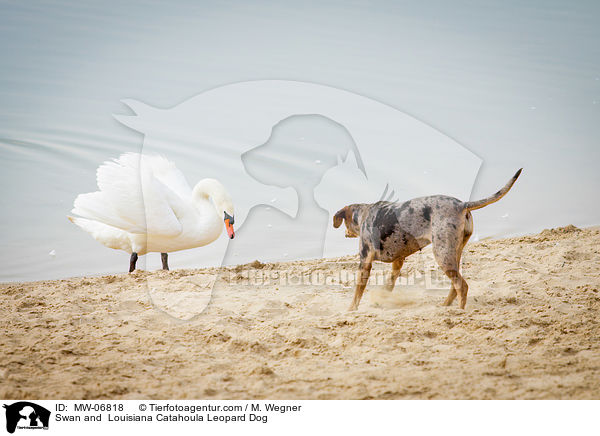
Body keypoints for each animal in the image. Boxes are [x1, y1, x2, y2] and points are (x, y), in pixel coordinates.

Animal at [332, 169, 520, 310]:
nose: (345, 233)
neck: (363, 214)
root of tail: (462, 204)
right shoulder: (398, 261)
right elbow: (389, 284)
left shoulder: (365, 263)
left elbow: (357, 293)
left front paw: (351, 309)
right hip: (453, 254)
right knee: (455, 286)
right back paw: (445, 305)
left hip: (442, 254)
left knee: (462, 286)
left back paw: (459, 311)